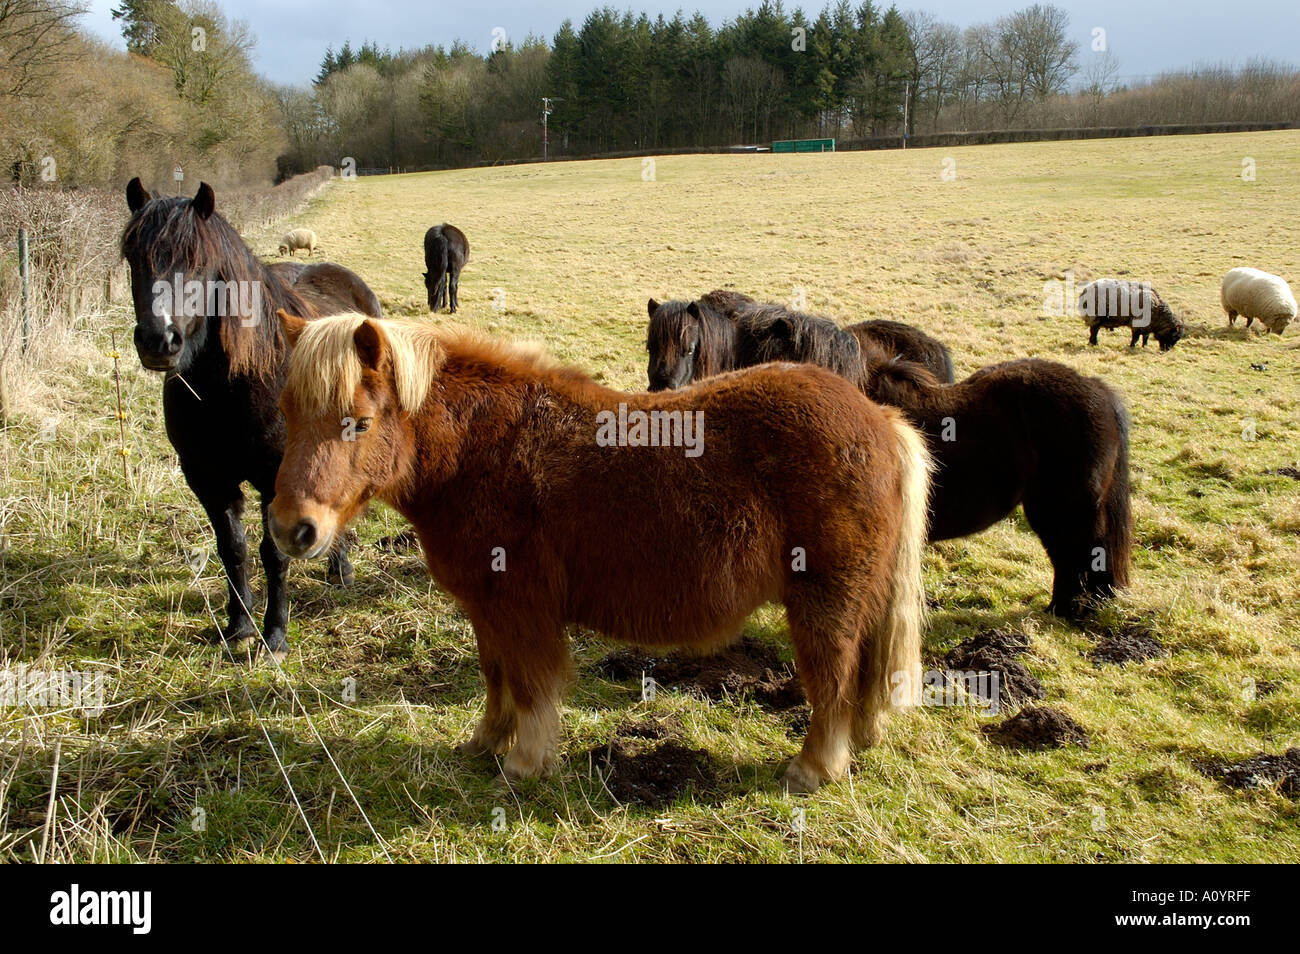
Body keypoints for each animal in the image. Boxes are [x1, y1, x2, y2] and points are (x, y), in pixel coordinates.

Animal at [121, 178, 383, 657]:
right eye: (133, 256)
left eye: (198, 262)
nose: (158, 340)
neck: (233, 385)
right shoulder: (208, 479)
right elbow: (233, 549)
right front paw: (239, 625)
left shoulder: (274, 478)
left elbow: (272, 553)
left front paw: (275, 633)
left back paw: (340, 571)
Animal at [267, 310, 932, 792]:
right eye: (287, 411)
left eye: (358, 421)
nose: (291, 529)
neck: (480, 449)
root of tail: (882, 419)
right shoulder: (486, 608)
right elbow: (495, 677)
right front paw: (485, 742)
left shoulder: (521, 607)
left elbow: (532, 684)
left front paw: (525, 764)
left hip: (825, 601)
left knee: (834, 677)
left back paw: (813, 769)